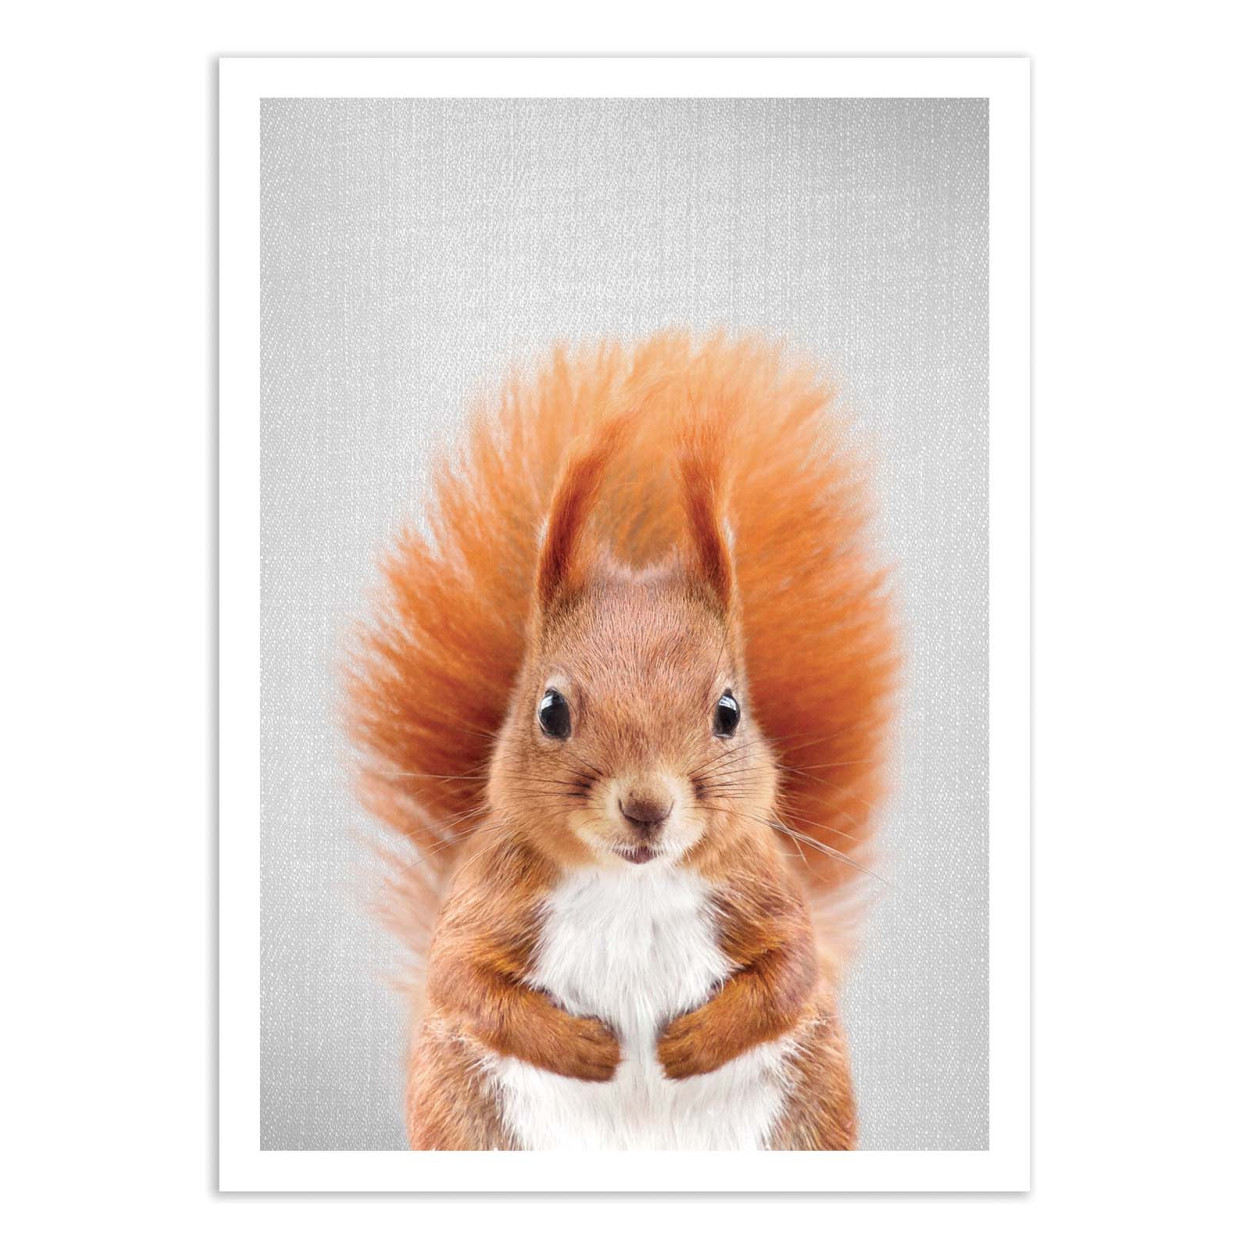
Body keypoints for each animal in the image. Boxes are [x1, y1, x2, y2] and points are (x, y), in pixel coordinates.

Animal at [347, 333, 897, 1150]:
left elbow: (793, 972)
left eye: (729, 712)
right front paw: (587, 1048)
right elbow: (462, 977)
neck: (632, 886)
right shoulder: (489, 899)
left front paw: (686, 1044)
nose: (646, 807)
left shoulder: (764, 892)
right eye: (549, 711)